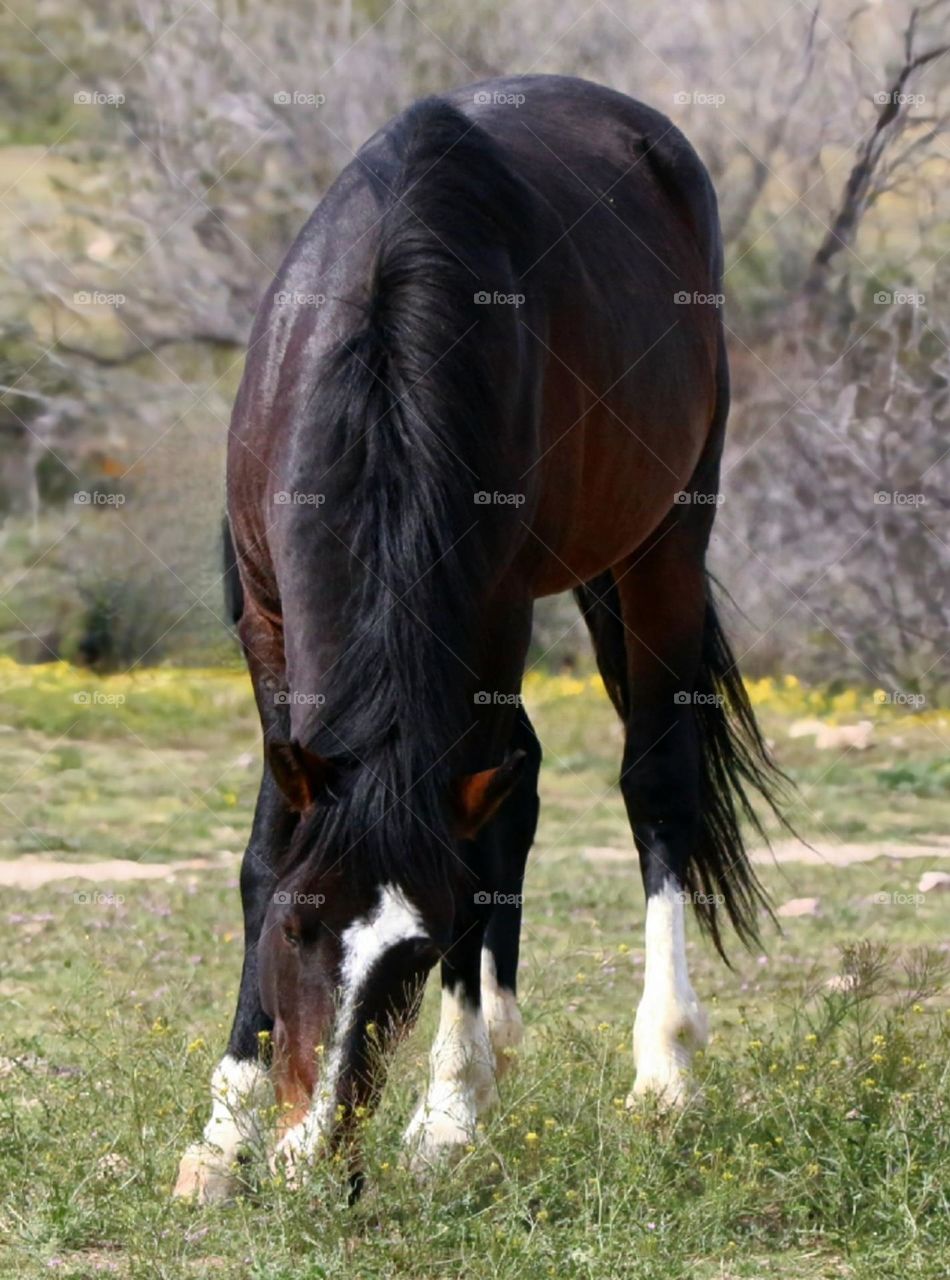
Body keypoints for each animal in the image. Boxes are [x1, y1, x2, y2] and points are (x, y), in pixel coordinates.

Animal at [173, 73, 782, 1203]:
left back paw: (662, 1069)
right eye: (297, 927)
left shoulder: (495, 611)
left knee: (655, 785)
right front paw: (224, 1129)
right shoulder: (262, 618)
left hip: (662, 546)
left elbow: (472, 850)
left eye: (413, 958)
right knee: (521, 780)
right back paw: (500, 1043)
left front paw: (448, 1116)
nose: (315, 1157)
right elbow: (266, 849)